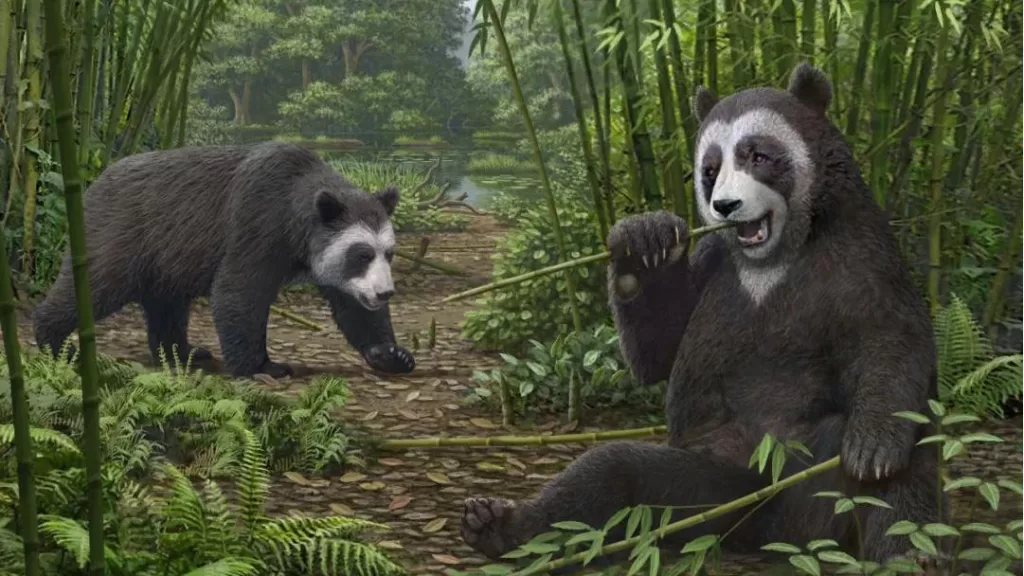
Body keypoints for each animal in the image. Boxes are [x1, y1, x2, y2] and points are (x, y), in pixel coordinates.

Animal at [33, 141, 415, 378]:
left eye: (388, 252)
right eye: (362, 254)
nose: (384, 293)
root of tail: (95, 181)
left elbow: (351, 305)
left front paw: (391, 353)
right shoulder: (259, 220)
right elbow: (238, 291)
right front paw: (263, 366)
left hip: (167, 254)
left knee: (167, 304)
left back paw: (183, 352)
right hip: (124, 229)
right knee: (96, 283)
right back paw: (54, 340)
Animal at [460, 63, 949, 570]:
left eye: (758, 155)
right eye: (710, 170)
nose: (726, 205)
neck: (771, 255)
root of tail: (765, 530)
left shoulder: (860, 249)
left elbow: (893, 338)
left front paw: (873, 447)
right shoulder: (715, 257)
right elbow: (662, 347)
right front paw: (642, 241)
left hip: (812, 477)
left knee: (903, 471)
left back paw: (912, 555)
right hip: (705, 485)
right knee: (609, 475)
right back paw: (498, 526)